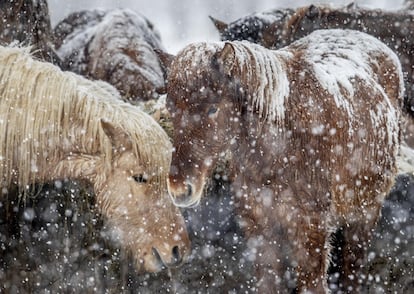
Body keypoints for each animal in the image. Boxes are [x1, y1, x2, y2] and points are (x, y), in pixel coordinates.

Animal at [163, 29, 406, 292]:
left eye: (212, 109)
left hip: (364, 216)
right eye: (170, 110)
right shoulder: (261, 233)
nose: (179, 190)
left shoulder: (311, 234)